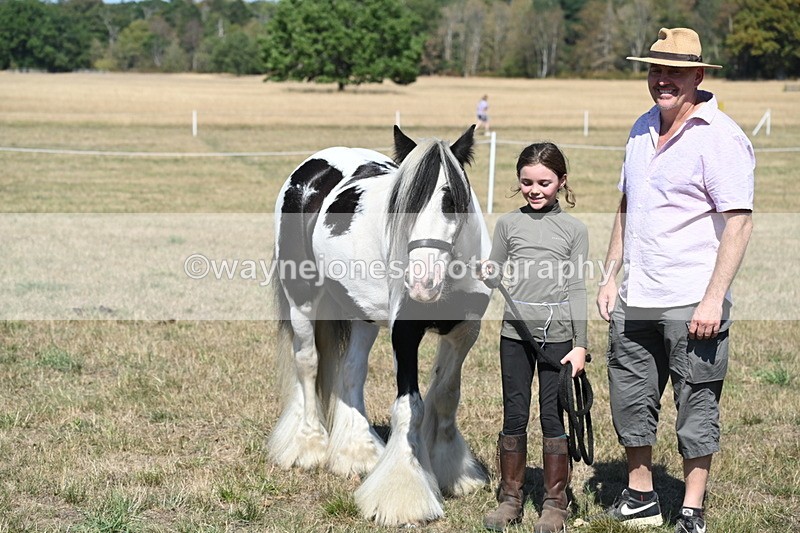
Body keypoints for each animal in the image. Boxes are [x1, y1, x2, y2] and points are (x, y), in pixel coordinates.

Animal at [268, 125, 492, 526]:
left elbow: (446, 397)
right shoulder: (404, 333)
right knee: (308, 365)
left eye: (452, 199)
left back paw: (359, 453)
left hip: (363, 315)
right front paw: (404, 496)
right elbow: (410, 407)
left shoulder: (464, 332)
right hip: (302, 302)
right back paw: (309, 446)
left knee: (352, 372)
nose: (422, 282)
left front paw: (450, 470)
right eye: (401, 202)